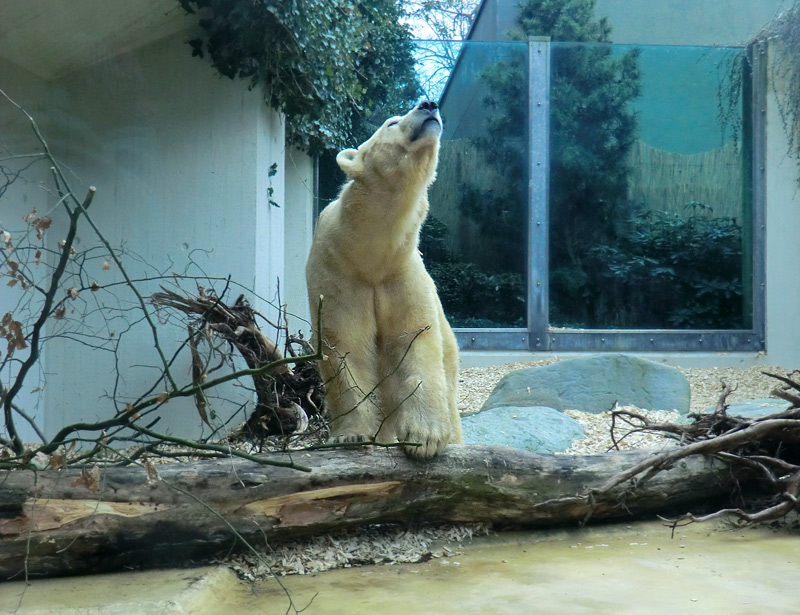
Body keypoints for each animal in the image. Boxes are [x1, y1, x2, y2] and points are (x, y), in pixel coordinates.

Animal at [306, 100, 462, 458]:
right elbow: (345, 343)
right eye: (391, 122)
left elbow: (414, 337)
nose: (429, 103)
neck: (370, 253)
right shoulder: (338, 273)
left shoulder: (401, 273)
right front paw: (351, 435)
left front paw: (425, 436)